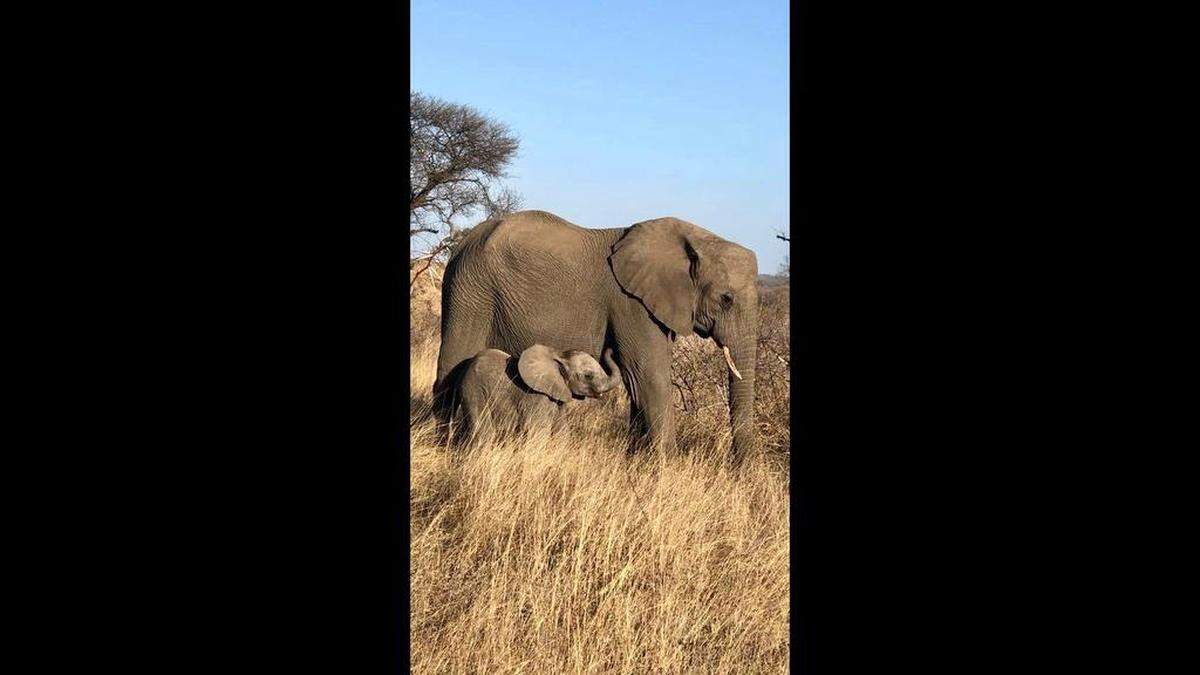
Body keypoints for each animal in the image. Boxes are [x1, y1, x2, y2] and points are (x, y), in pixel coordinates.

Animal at [450, 344, 622, 440]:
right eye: (588, 376)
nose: (611, 350)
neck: (559, 356)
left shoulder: (557, 398)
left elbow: (562, 431)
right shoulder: (536, 397)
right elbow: (537, 431)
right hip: (473, 390)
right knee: (483, 432)